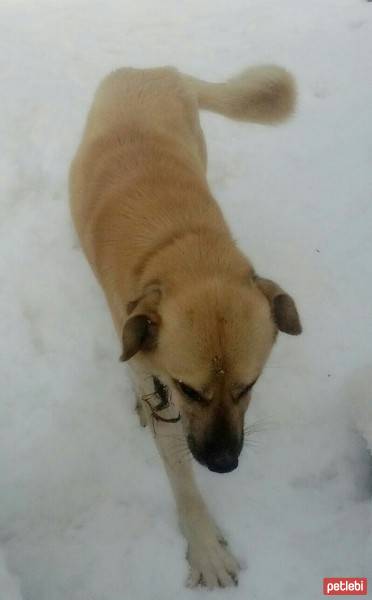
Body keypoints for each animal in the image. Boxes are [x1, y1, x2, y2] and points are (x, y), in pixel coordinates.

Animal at [70, 63, 302, 588]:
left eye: (248, 386)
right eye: (188, 389)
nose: (224, 464)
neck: (180, 247)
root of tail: (156, 70)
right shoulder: (161, 387)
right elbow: (180, 472)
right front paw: (206, 548)